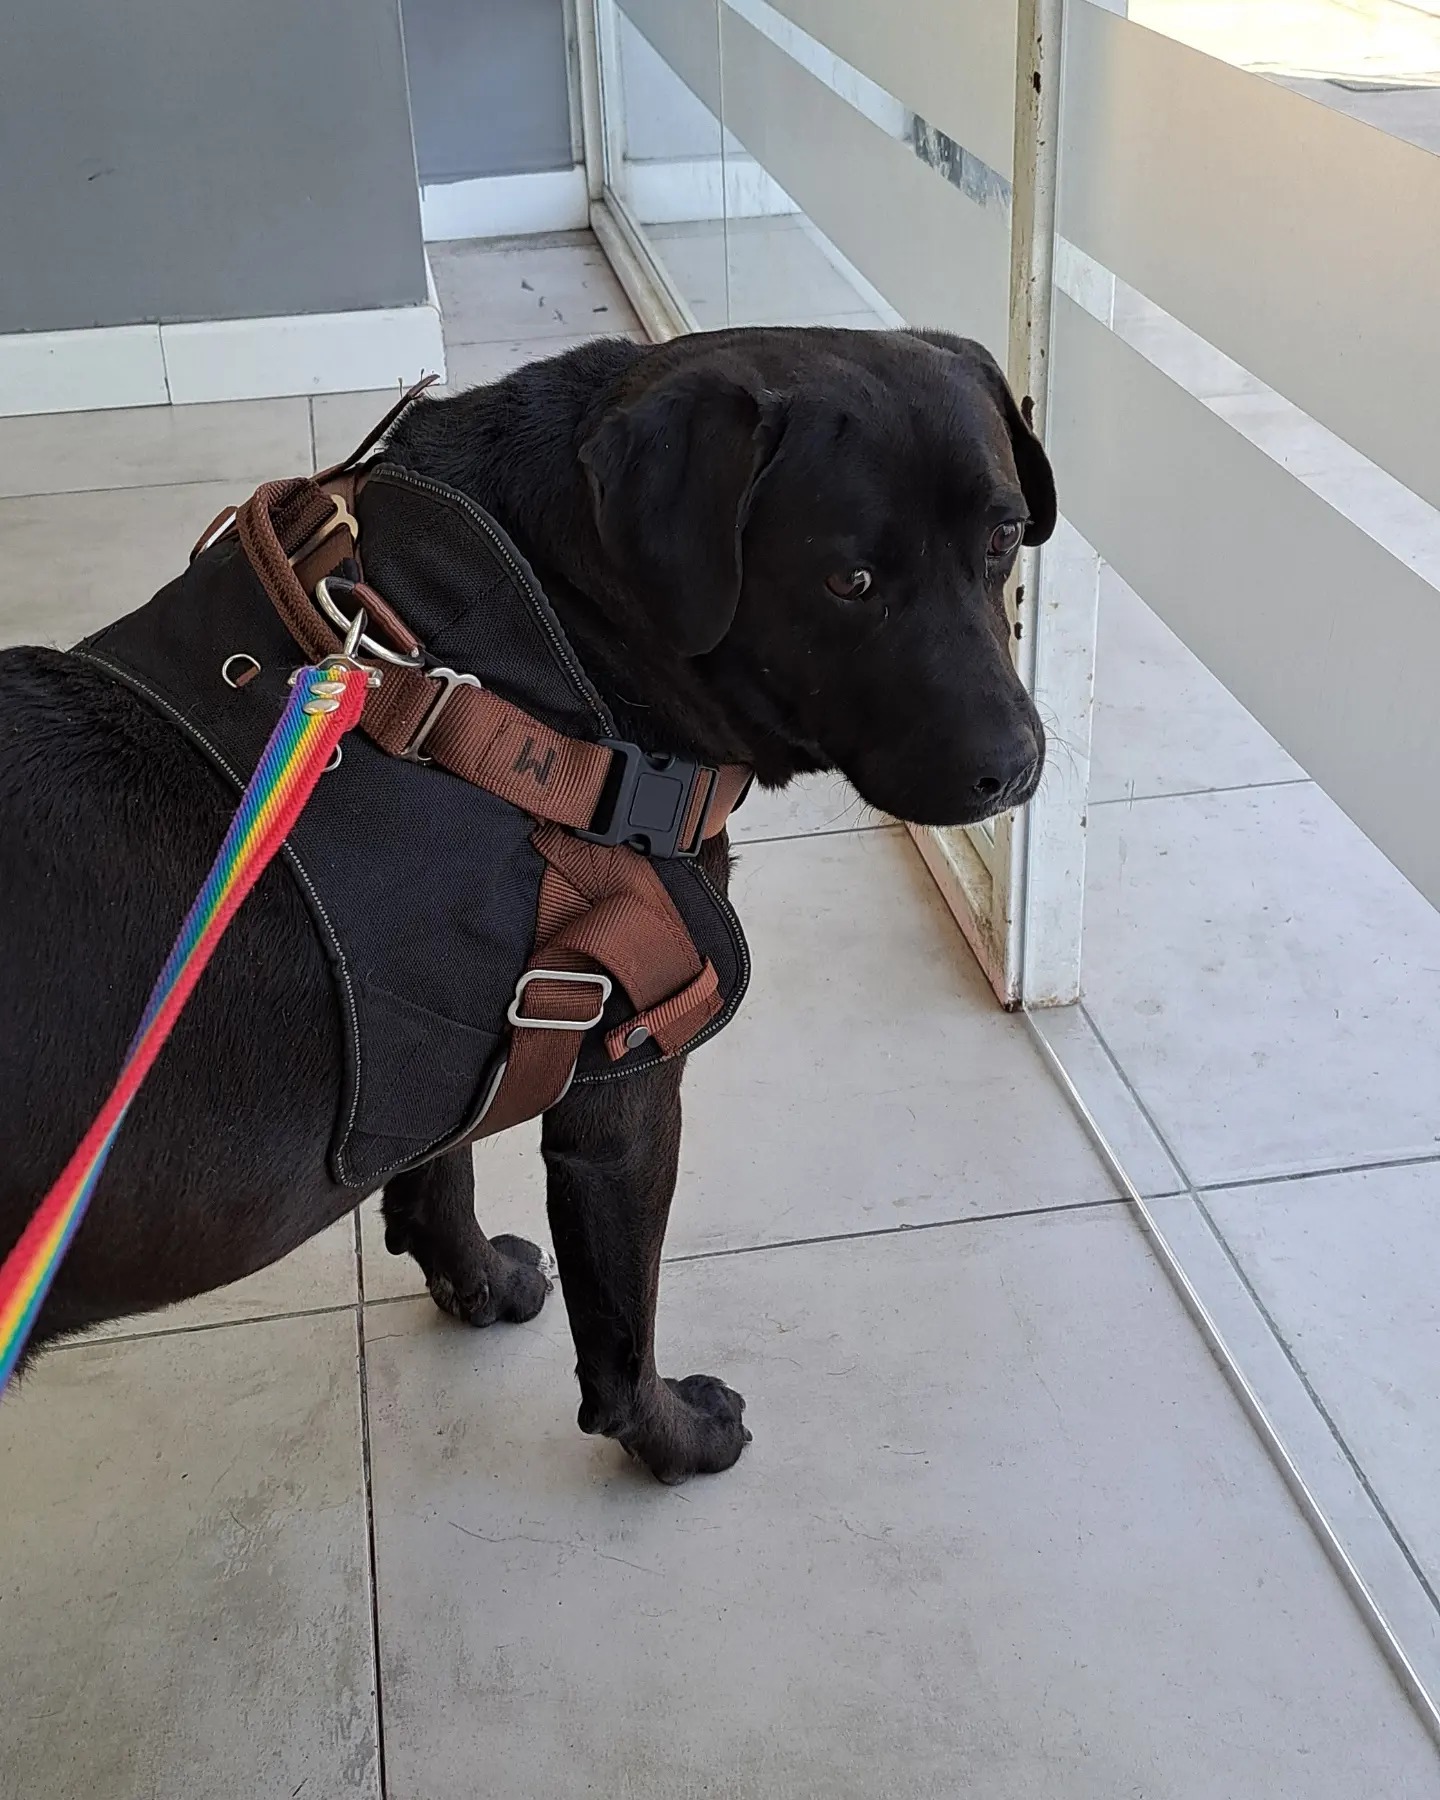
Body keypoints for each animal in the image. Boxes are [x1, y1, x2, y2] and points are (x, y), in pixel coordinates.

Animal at [2, 331, 1058, 1483]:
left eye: (1005, 538)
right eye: (850, 580)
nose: (1015, 768)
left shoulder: (450, 1028)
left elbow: (439, 1166)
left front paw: (469, 1281)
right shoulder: (627, 1090)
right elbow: (623, 1332)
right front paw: (673, 1440)